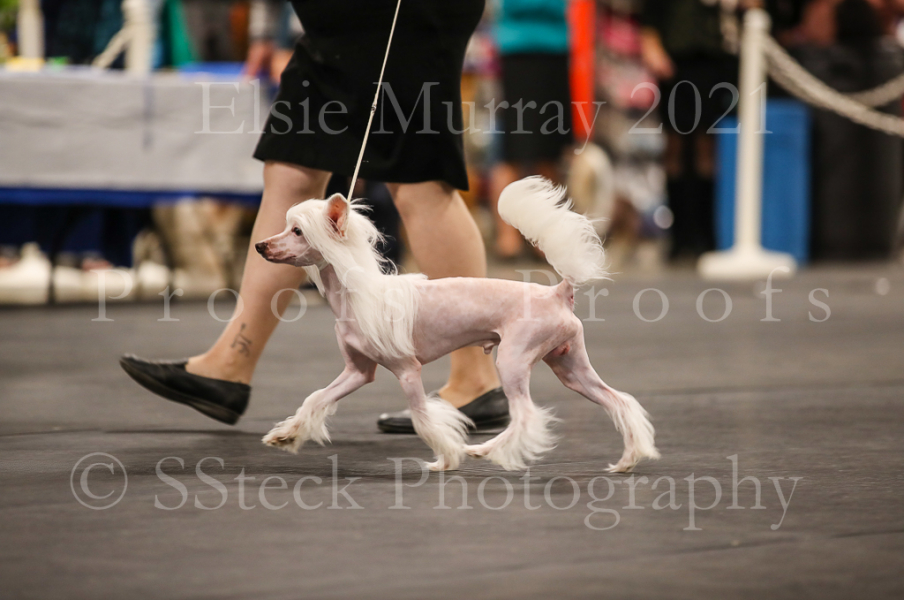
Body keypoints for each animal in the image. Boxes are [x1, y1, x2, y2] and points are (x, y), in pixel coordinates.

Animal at [255, 177, 660, 472]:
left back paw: (487, 450)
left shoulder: (407, 371)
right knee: (618, 401)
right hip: (570, 366)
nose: (259, 246)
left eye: (297, 232)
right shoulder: (358, 372)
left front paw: (446, 458)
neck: (358, 293)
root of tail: (558, 292)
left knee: (526, 416)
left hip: (513, 360)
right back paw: (628, 460)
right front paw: (286, 435)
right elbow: (316, 398)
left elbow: (422, 418)